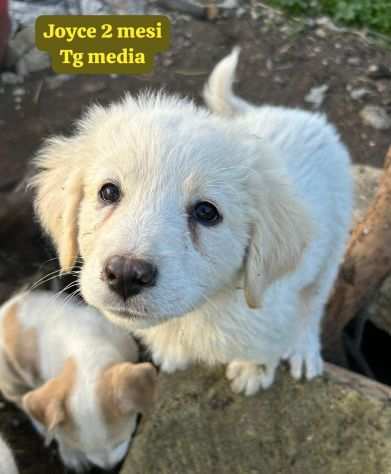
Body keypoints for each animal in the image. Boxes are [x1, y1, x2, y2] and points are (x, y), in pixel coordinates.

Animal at [0, 290, 158, 472]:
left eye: (120, 440)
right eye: (81, 449)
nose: (110, 468)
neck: (85, 349)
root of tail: (6, 308)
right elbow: (58, 432)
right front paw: (72, 456)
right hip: (11, 380)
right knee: (21, 401)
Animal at [33, 48, 352, 396]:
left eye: (206, 212)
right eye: (108, 192)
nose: (126, 274)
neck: (201, 309)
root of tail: (299, 115)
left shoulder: (275, 307)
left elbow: (268, 341)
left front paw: (253, 370)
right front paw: (172, 352)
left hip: (332, 247)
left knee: (313, 303)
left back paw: (304, 349)